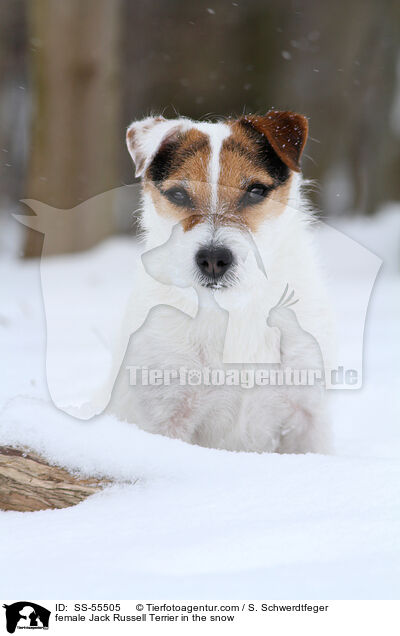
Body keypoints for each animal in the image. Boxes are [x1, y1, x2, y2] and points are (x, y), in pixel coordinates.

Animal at [105, 113, 332, 452]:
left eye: (255, 190)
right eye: (178, 194)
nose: (213, 259)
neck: (234, 310)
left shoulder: (308, 418)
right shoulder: (165, 417)